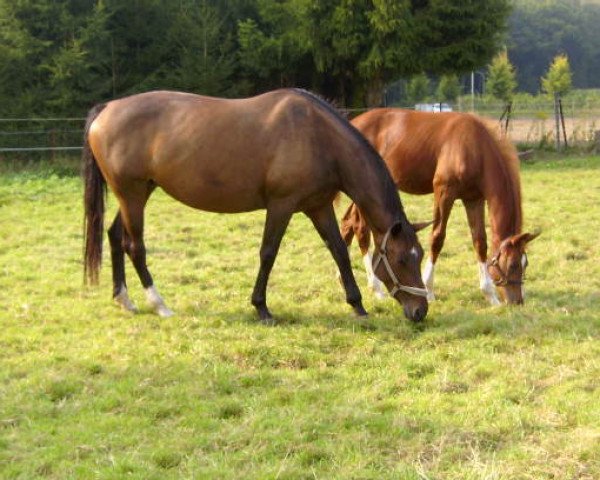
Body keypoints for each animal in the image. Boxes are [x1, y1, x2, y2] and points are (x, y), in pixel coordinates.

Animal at [84, 90, 432, 322]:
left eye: (420, 256)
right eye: (401, 259)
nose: (420, 311)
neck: (318, 136)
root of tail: (107, 108)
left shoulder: (319, 207)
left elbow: (338, 251)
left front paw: (357, 304)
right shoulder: (281, 205)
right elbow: (268, 253)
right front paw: (262, 307)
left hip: (135, 194)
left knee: (115, 236)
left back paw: (124, 299)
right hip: (132, 195)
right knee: (135, 246)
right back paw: (159, 304)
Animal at [340, 108, 540, 304]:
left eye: (526, 263)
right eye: (513, 264)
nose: (518, 301)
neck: (474, 148)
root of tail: (355, 121)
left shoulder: (473, 199)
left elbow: (480, 241)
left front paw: (490, 295)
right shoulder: (444, 192)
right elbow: (437, 237)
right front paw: (428, 290)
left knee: (348, 222)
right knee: (360, 228)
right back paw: (376, 288)